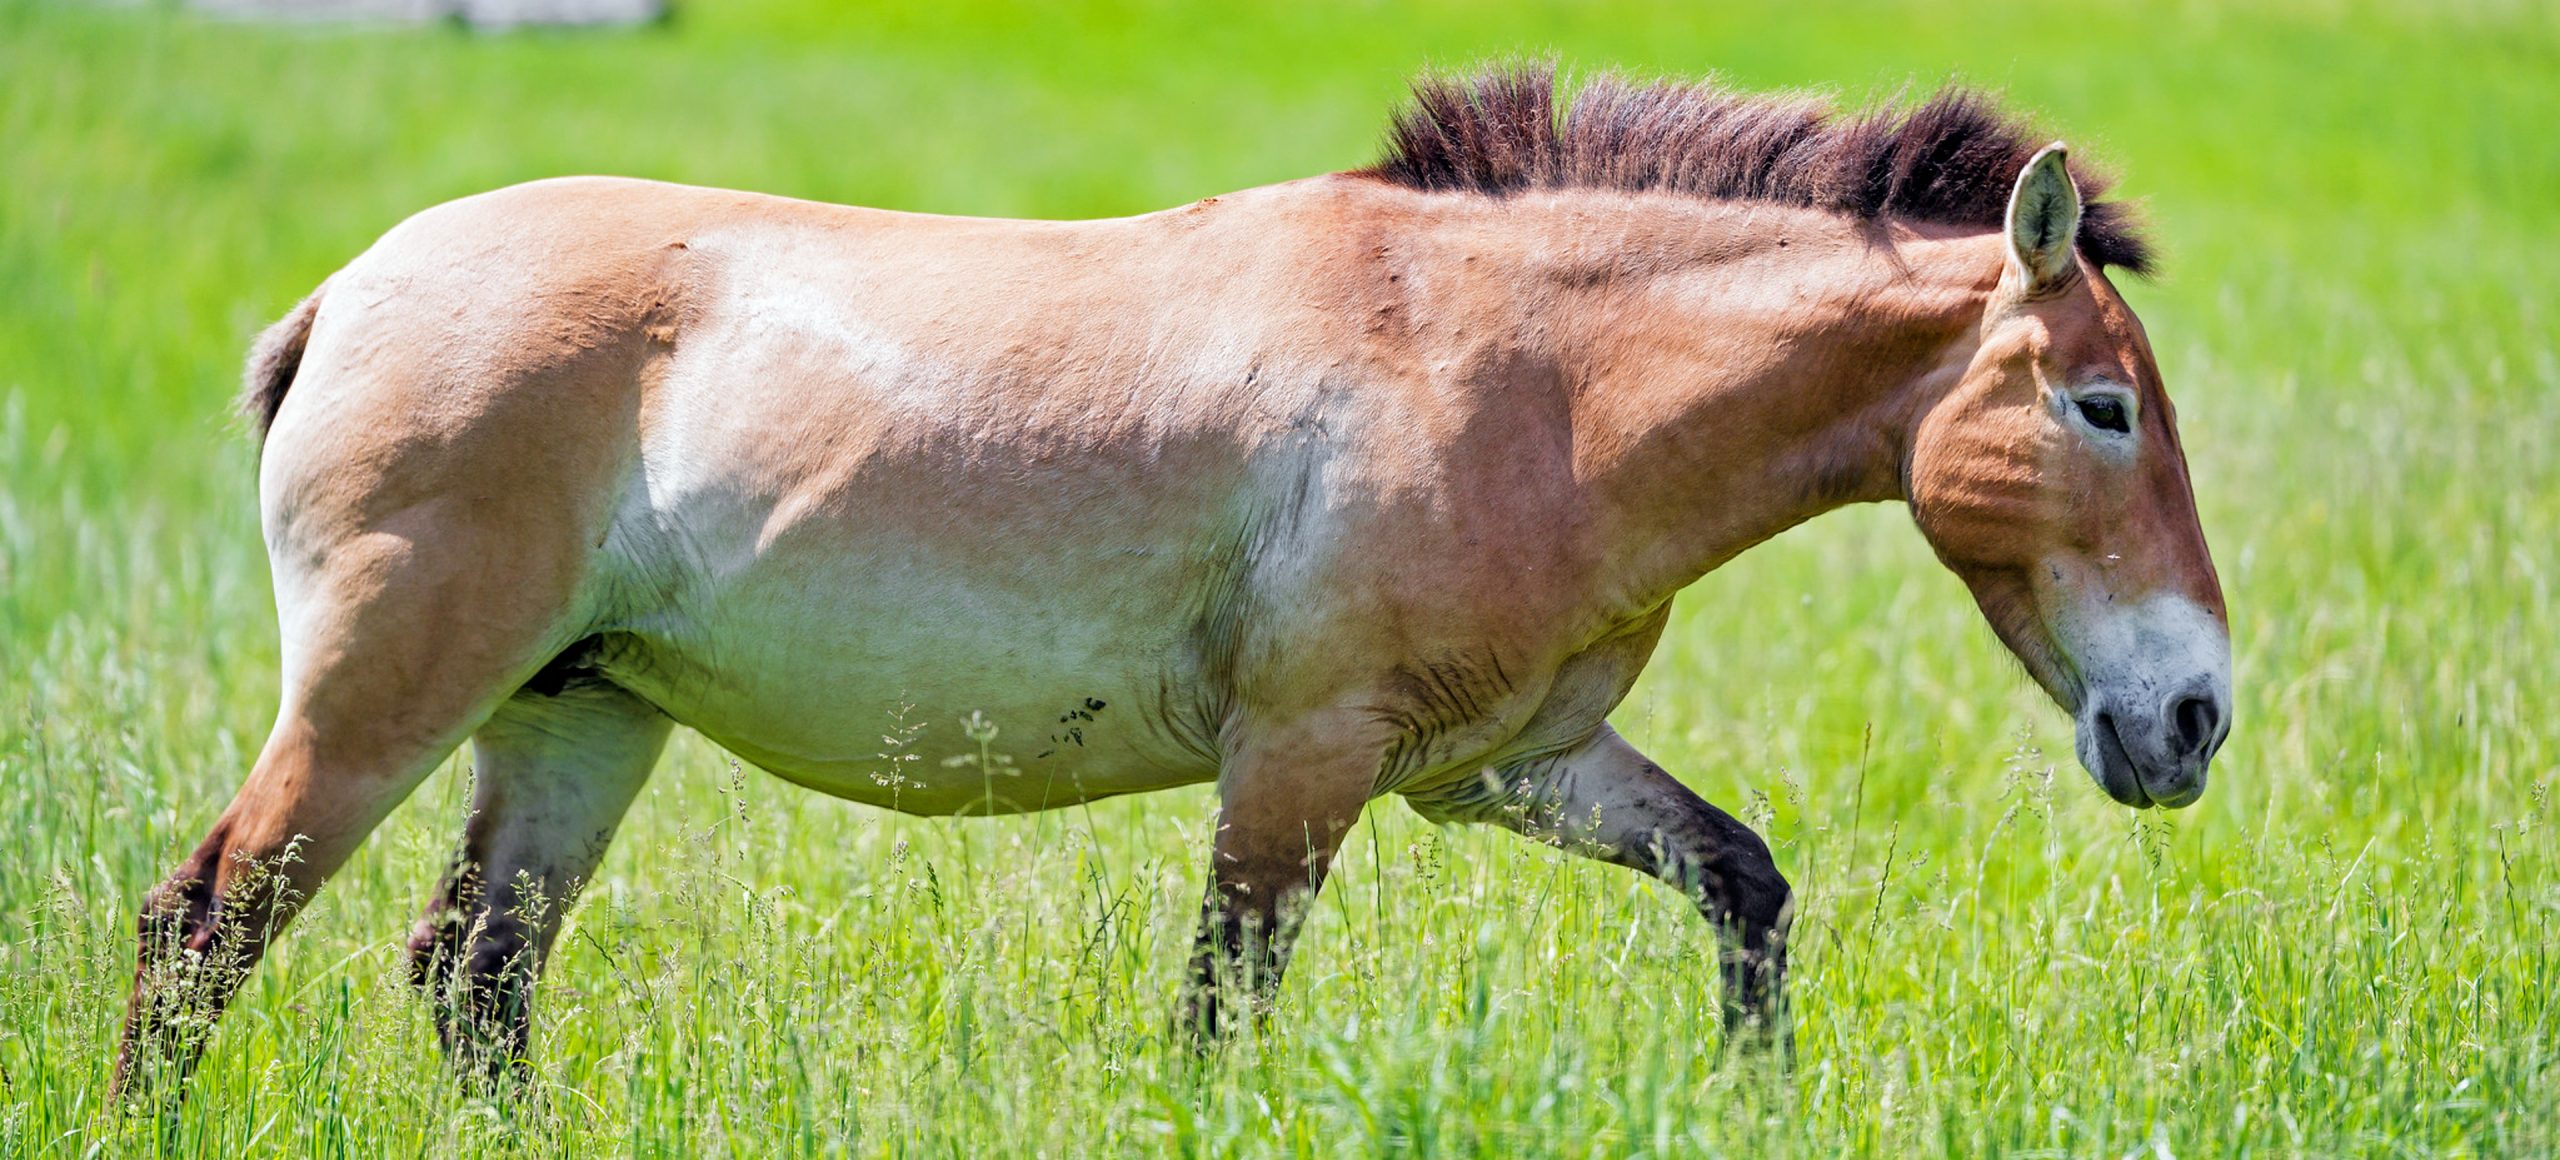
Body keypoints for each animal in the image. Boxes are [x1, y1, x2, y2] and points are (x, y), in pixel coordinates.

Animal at [120, 67, 2232, 1090]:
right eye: (2107, 406)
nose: (2195, 716)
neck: (1532, 373)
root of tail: (348, 295)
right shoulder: (1297, 766)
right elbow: (1218, 1021)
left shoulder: (1503, 770)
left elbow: (1745, 888)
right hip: (387, 701)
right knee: (202, 932)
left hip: (575, 720)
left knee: (477, 986)